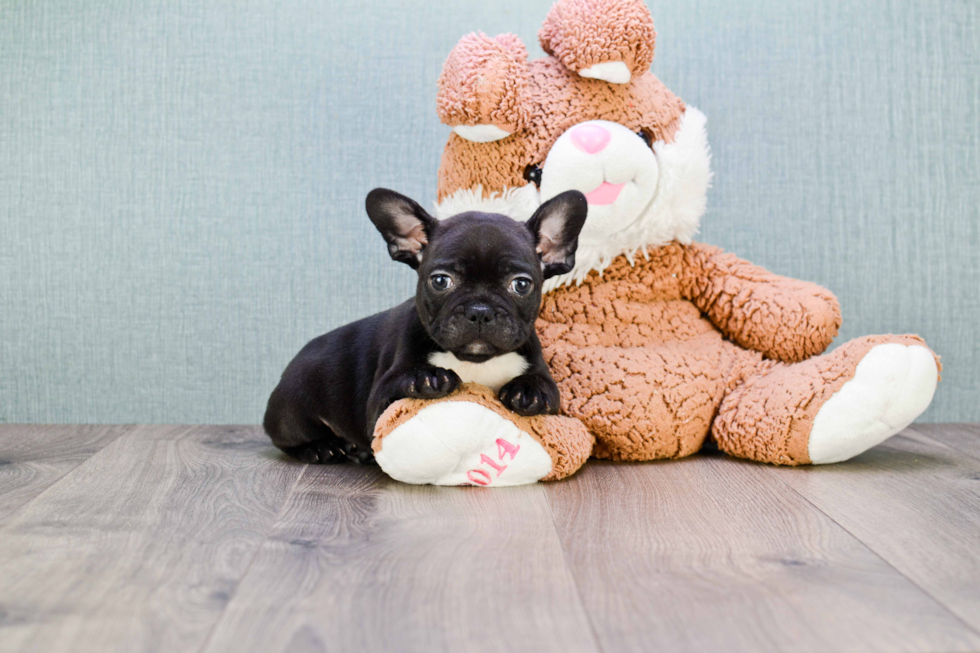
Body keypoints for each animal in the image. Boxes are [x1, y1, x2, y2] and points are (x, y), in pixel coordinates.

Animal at [262, 187, 588, 464]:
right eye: (440, 280)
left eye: (521, 284)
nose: (480, 310)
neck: (476, 361)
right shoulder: (379, 400)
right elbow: (399, 388)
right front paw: (428, 377)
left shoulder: (548, 384)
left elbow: (545, 389)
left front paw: (528, 391)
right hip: (295, 404)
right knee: (287, 439)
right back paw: (323, 447)